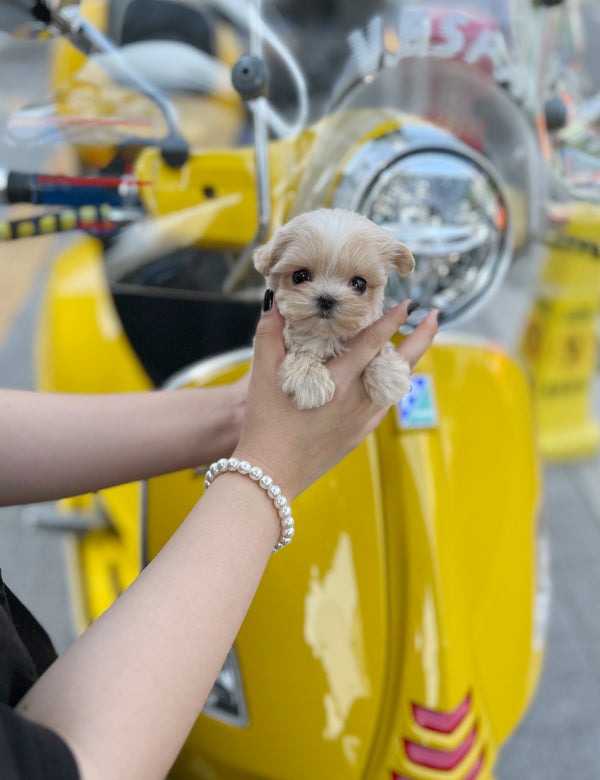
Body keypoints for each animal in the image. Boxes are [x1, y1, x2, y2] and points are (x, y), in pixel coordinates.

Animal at [254, 210, 418, 412]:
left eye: (359, 284)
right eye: (300, 276)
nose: (326, 299)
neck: (326, 336)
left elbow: (383, 349)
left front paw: (388, 376)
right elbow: (301, 352)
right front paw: (309, 381)